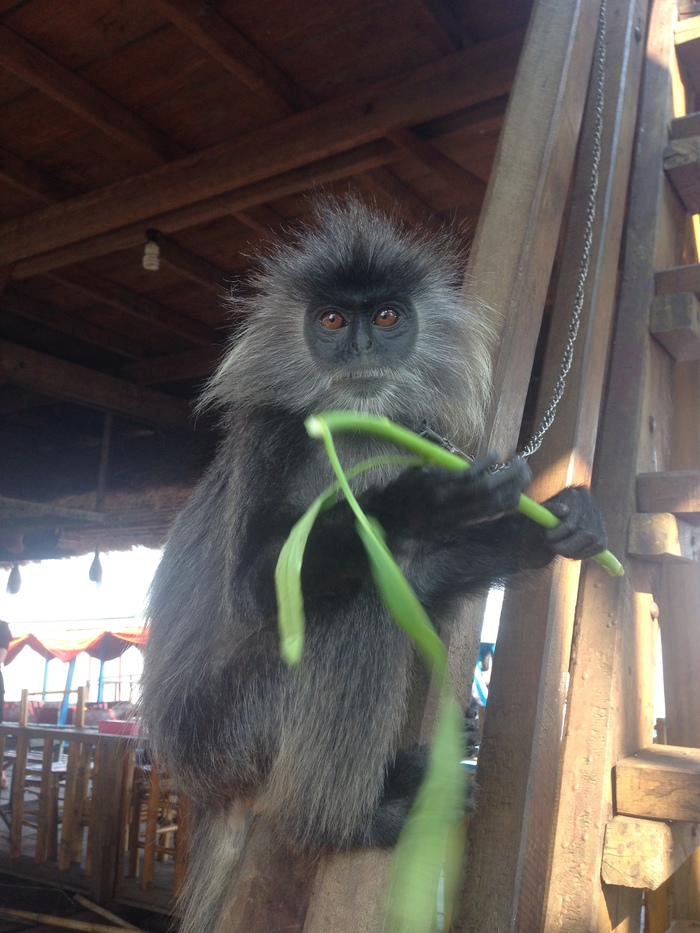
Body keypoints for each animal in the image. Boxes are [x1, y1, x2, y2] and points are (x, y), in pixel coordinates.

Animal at [142, 195, 608, 924]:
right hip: (224, 730)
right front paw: (424, 500)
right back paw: (344, 822)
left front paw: (558, 523)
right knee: (355, 605)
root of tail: (202, 786)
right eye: (333, 320)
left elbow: (418, 576)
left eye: (387, 317)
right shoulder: (272, 434)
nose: (361, 348)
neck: (355, 427)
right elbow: (252, 589)